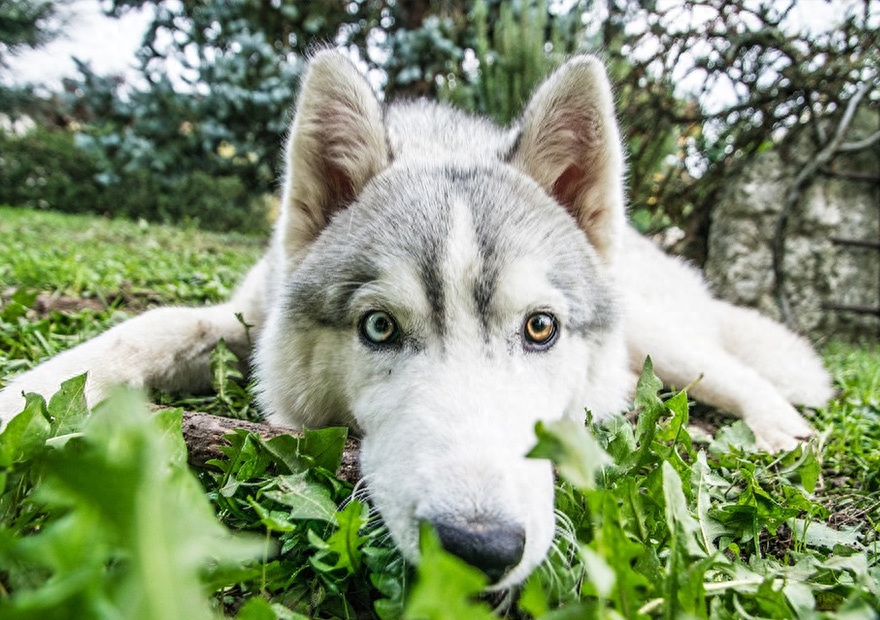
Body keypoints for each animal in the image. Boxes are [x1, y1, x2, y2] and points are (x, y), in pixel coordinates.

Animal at [0, 50, 832, 584]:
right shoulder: (244, 318)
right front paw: (21, 397)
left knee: (738, 372)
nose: (480, 548)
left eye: (540, 328)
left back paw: (780, 431)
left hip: (663, 340)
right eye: (379, 328)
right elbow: (146, 328)